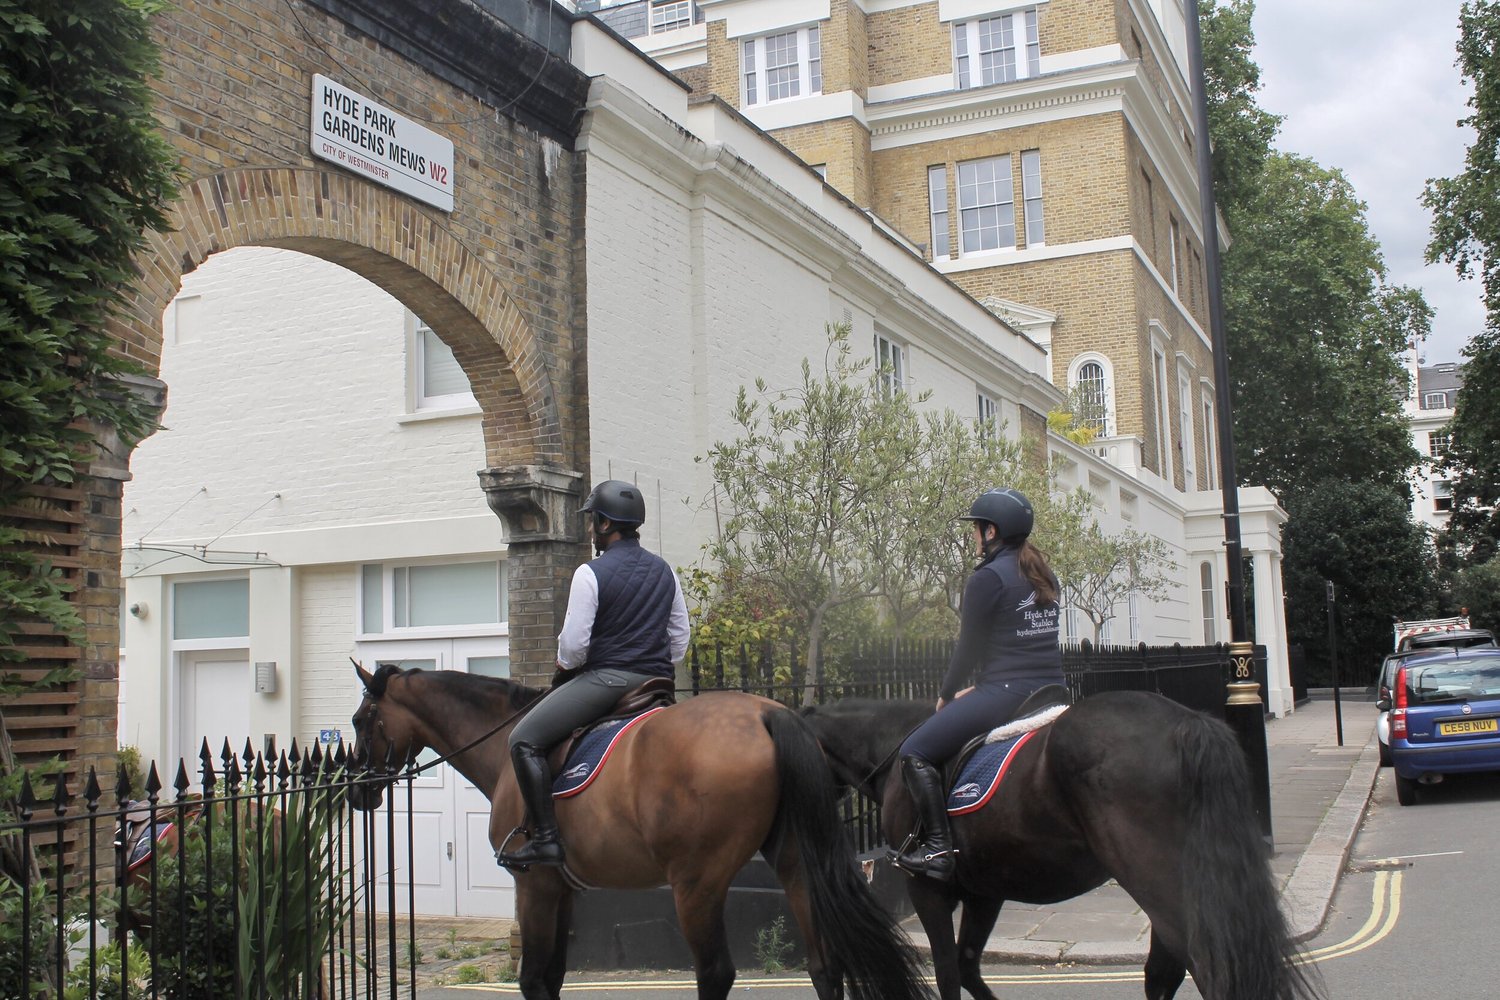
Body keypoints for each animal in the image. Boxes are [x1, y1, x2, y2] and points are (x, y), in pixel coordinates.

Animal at [347, 662, 933, 1000]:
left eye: (360, 720)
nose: (356, 791)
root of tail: (768, 716)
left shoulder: (535, 886)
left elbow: (533, 978)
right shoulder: (562, 890)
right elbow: (552, 975)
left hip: (696, 884)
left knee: (716, 973)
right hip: (795, 865)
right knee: (823, 966)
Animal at [800, 691, 1323, 1000]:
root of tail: (1186, 725)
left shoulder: (928, 889)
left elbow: (947, 972)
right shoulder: (986, 891)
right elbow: (968, 968)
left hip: (1160, 882)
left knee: (1206, 968)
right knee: (1165, 972)